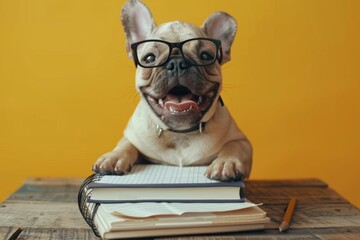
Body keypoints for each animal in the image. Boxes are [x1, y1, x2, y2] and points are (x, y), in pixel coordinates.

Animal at [91, 0, 252, 180]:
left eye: (205, 56)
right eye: (149, 58)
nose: (177, 62)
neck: (180, 134)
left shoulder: (242, 141)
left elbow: (233, 146)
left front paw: (226, 163)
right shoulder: (133, 136)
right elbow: (126, 144)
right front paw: (114, 156)